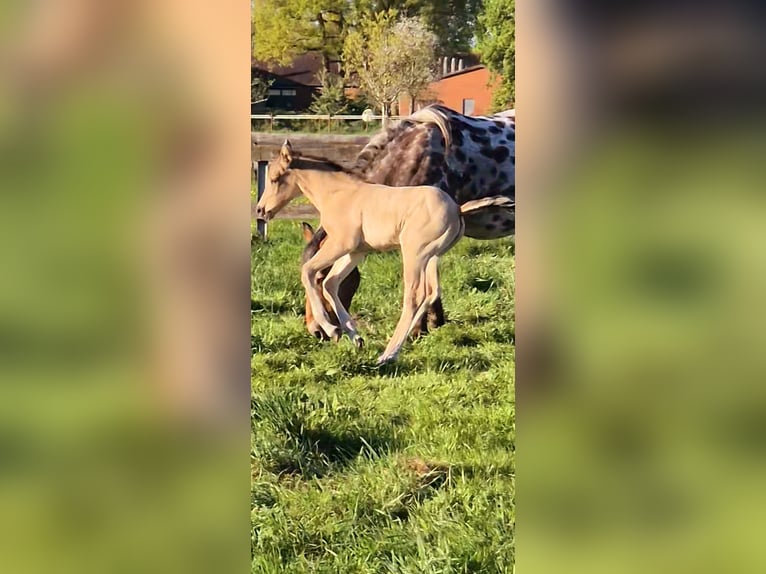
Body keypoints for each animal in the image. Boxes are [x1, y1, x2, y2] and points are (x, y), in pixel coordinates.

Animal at [255, 140, 509, 364]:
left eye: (275, 178)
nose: (261, 210)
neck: (339, 194)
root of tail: (457, 208)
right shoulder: (356, 251)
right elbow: (331, 283)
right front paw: (355, 337)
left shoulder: (341, 244)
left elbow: (309, 272)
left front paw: (332, 329)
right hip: (432, 256)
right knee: (432, 291)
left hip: (414, 253)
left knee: (414, 296)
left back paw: (388, 355)